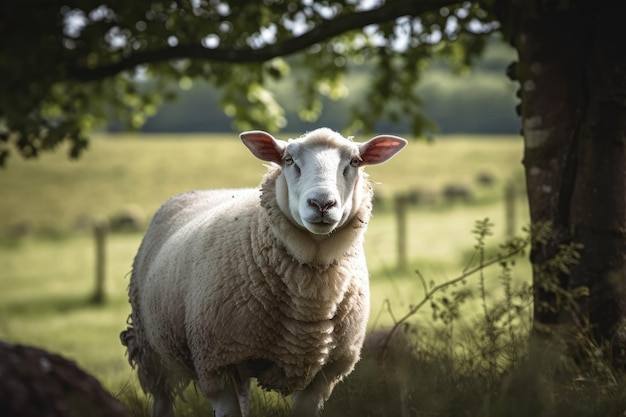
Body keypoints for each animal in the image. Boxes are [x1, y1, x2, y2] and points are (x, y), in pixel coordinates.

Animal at [119, 127, 408, 416]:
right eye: (288, 160)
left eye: (355, 162)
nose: (322, 204)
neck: (311, 300)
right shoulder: (215, 364)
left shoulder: (323, 376)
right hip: (151, 349)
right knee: (162, 396)